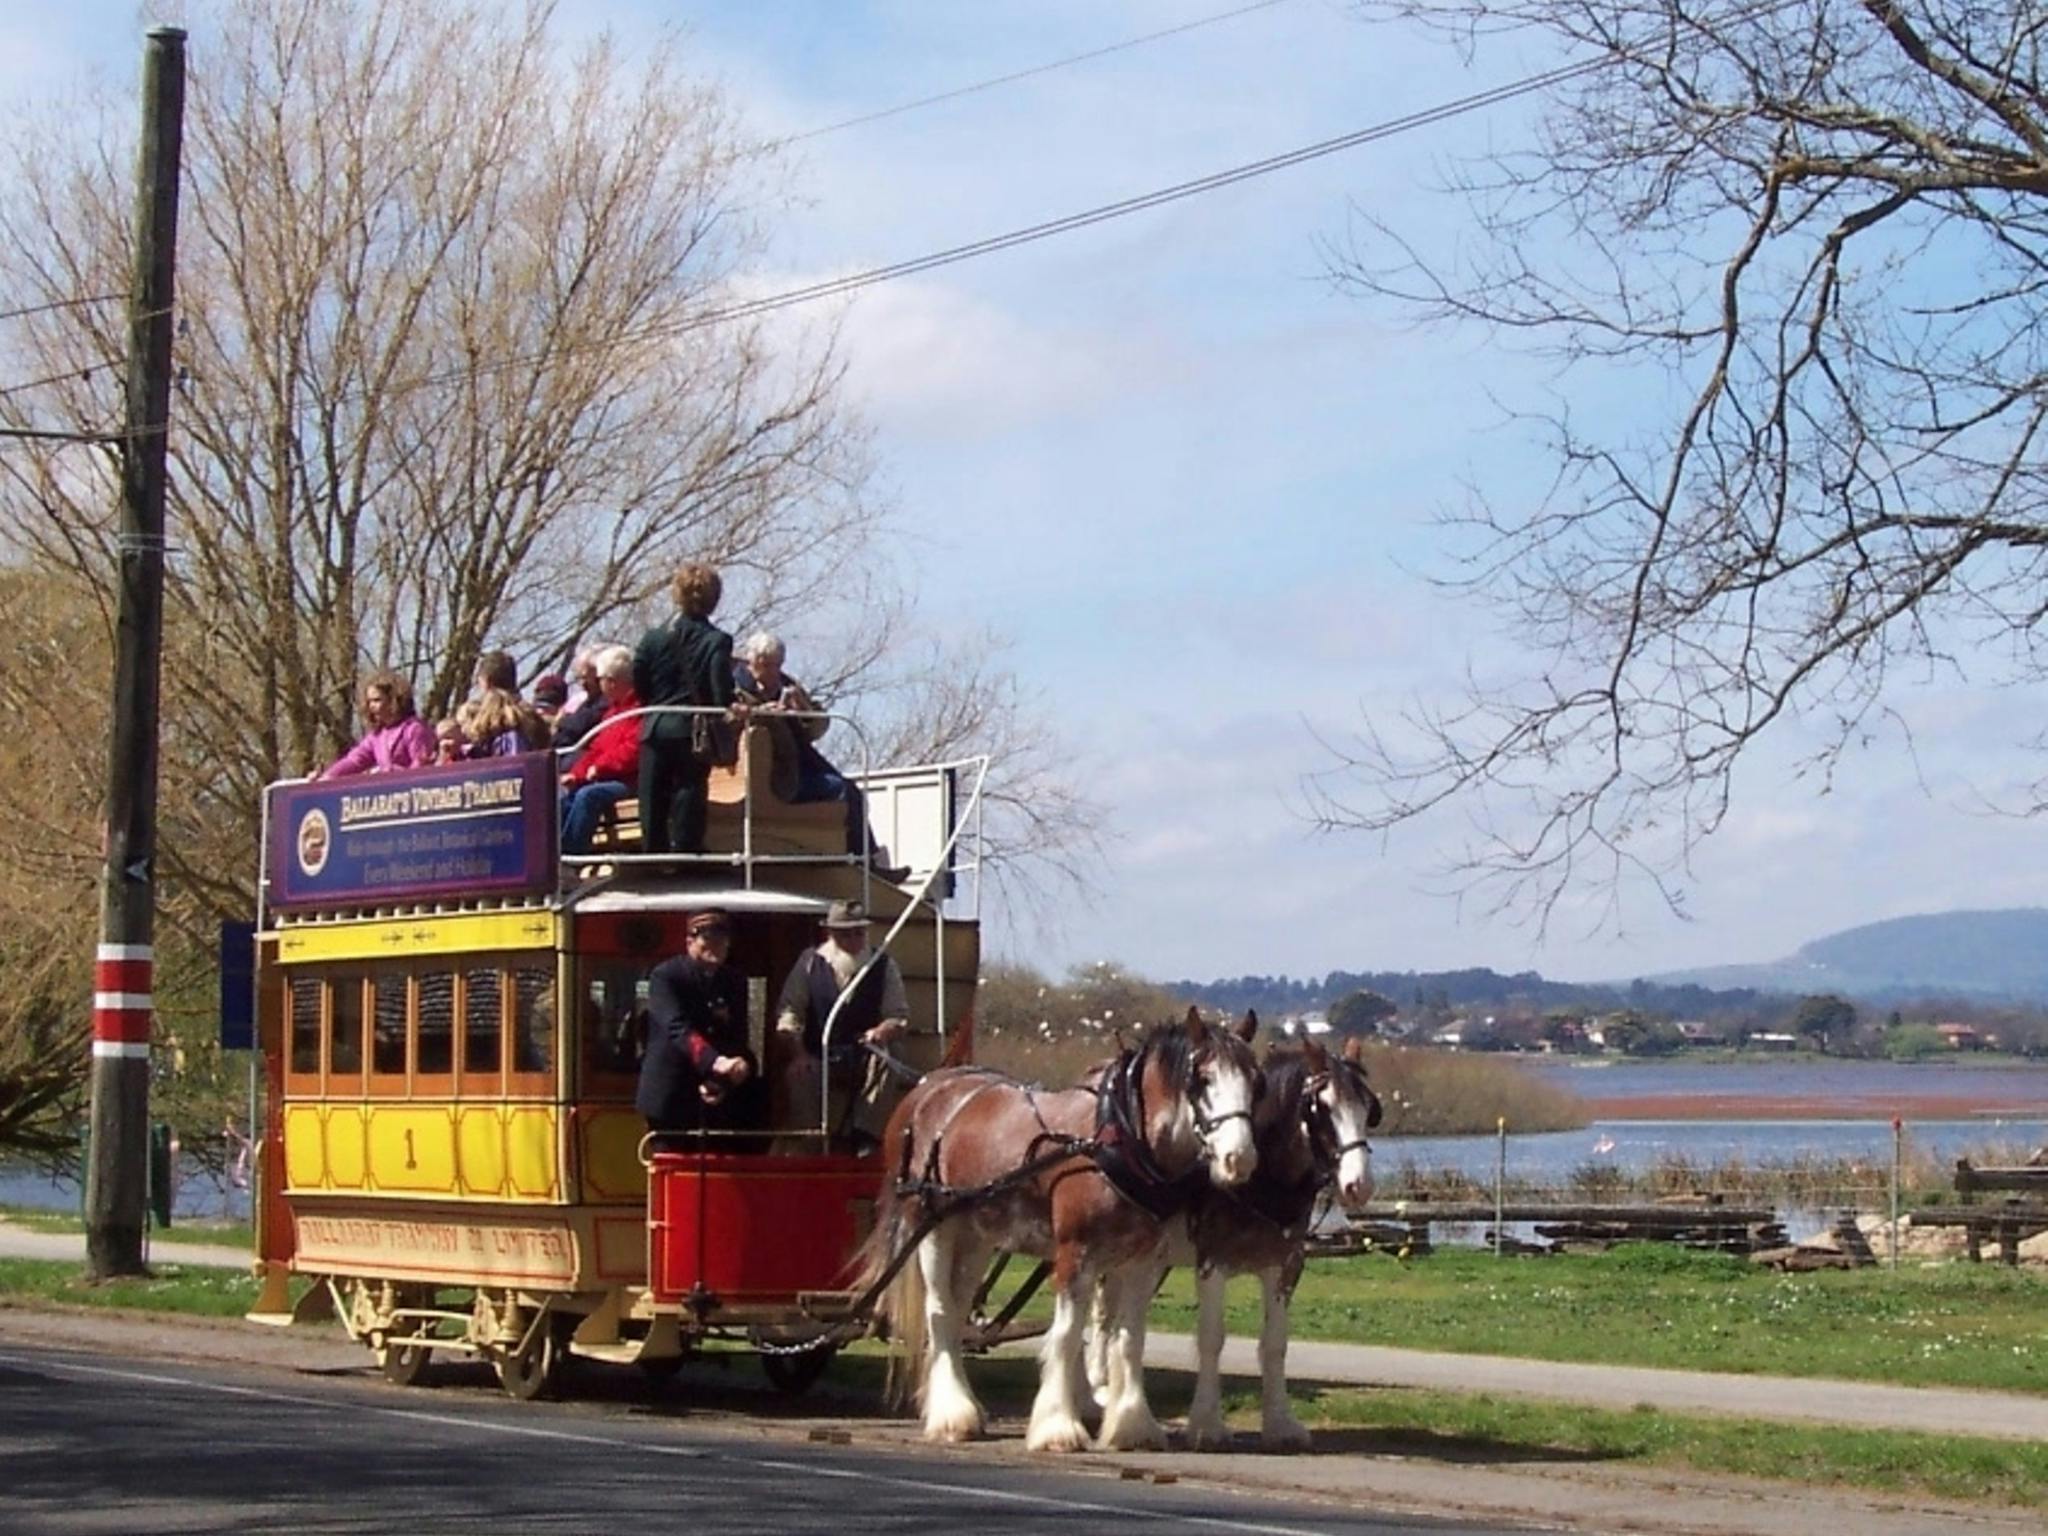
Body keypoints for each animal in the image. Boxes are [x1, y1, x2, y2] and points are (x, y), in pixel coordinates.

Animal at [851, 1011, 1261, 1458]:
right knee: (939, 1313)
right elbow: (1066, 1338)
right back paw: (952, 1416)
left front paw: (1132, 1425)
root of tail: (928, 1085)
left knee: (957, 1313)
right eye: (1202, 1078)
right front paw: (1057, 1427)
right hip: (932, 1224)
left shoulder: (1142, 1261)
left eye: (1255, 1080)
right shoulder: (1074, 1255)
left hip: (976, 1236)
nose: (1239, 1159)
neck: (1117, 1139)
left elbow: (1129, 1340)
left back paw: (959, 1405)